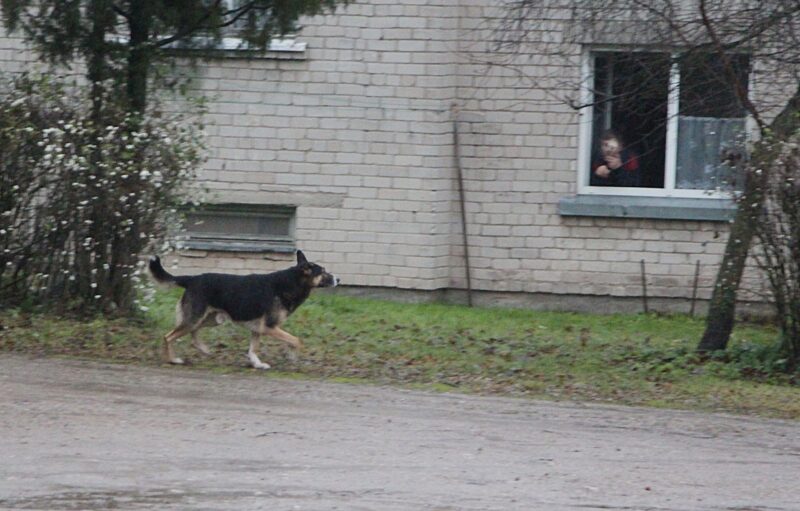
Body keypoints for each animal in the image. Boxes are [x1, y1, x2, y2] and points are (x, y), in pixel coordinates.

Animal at [149, 251, 338, 368]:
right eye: (323, 272)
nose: (339, 279)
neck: (291, 282)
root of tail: (191, 279)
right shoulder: (269, 327)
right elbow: (295, 340)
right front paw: (292, 355)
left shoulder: (258, 328)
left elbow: (253, 349)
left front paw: (257, 364)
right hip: (195, 318)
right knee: (168, 337)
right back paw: (171, 359)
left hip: (210, 319)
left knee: (192, 334)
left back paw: (202, 349)